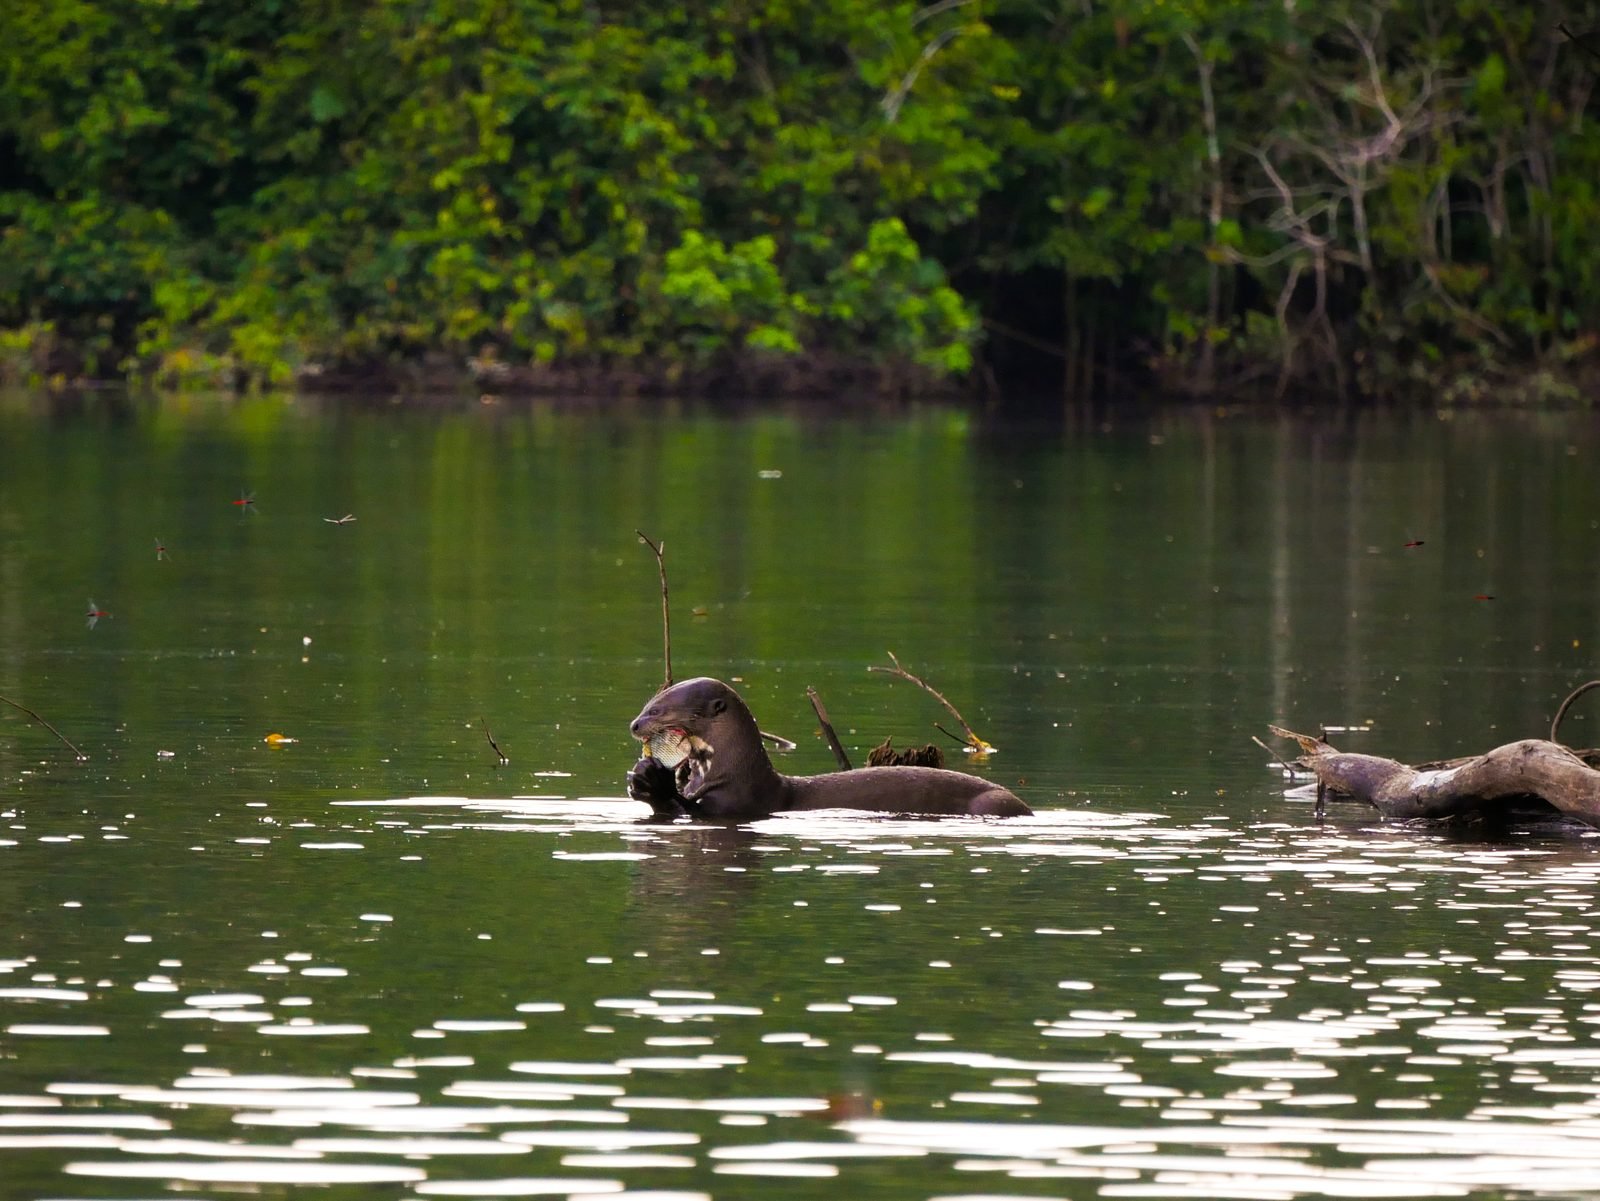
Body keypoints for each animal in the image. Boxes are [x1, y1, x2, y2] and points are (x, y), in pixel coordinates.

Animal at [627, 677, 1031, 820]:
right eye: (649, 702)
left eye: (658, 710)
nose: (634, 724)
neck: (736, 771)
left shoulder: (737, 803)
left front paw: (654, 782)